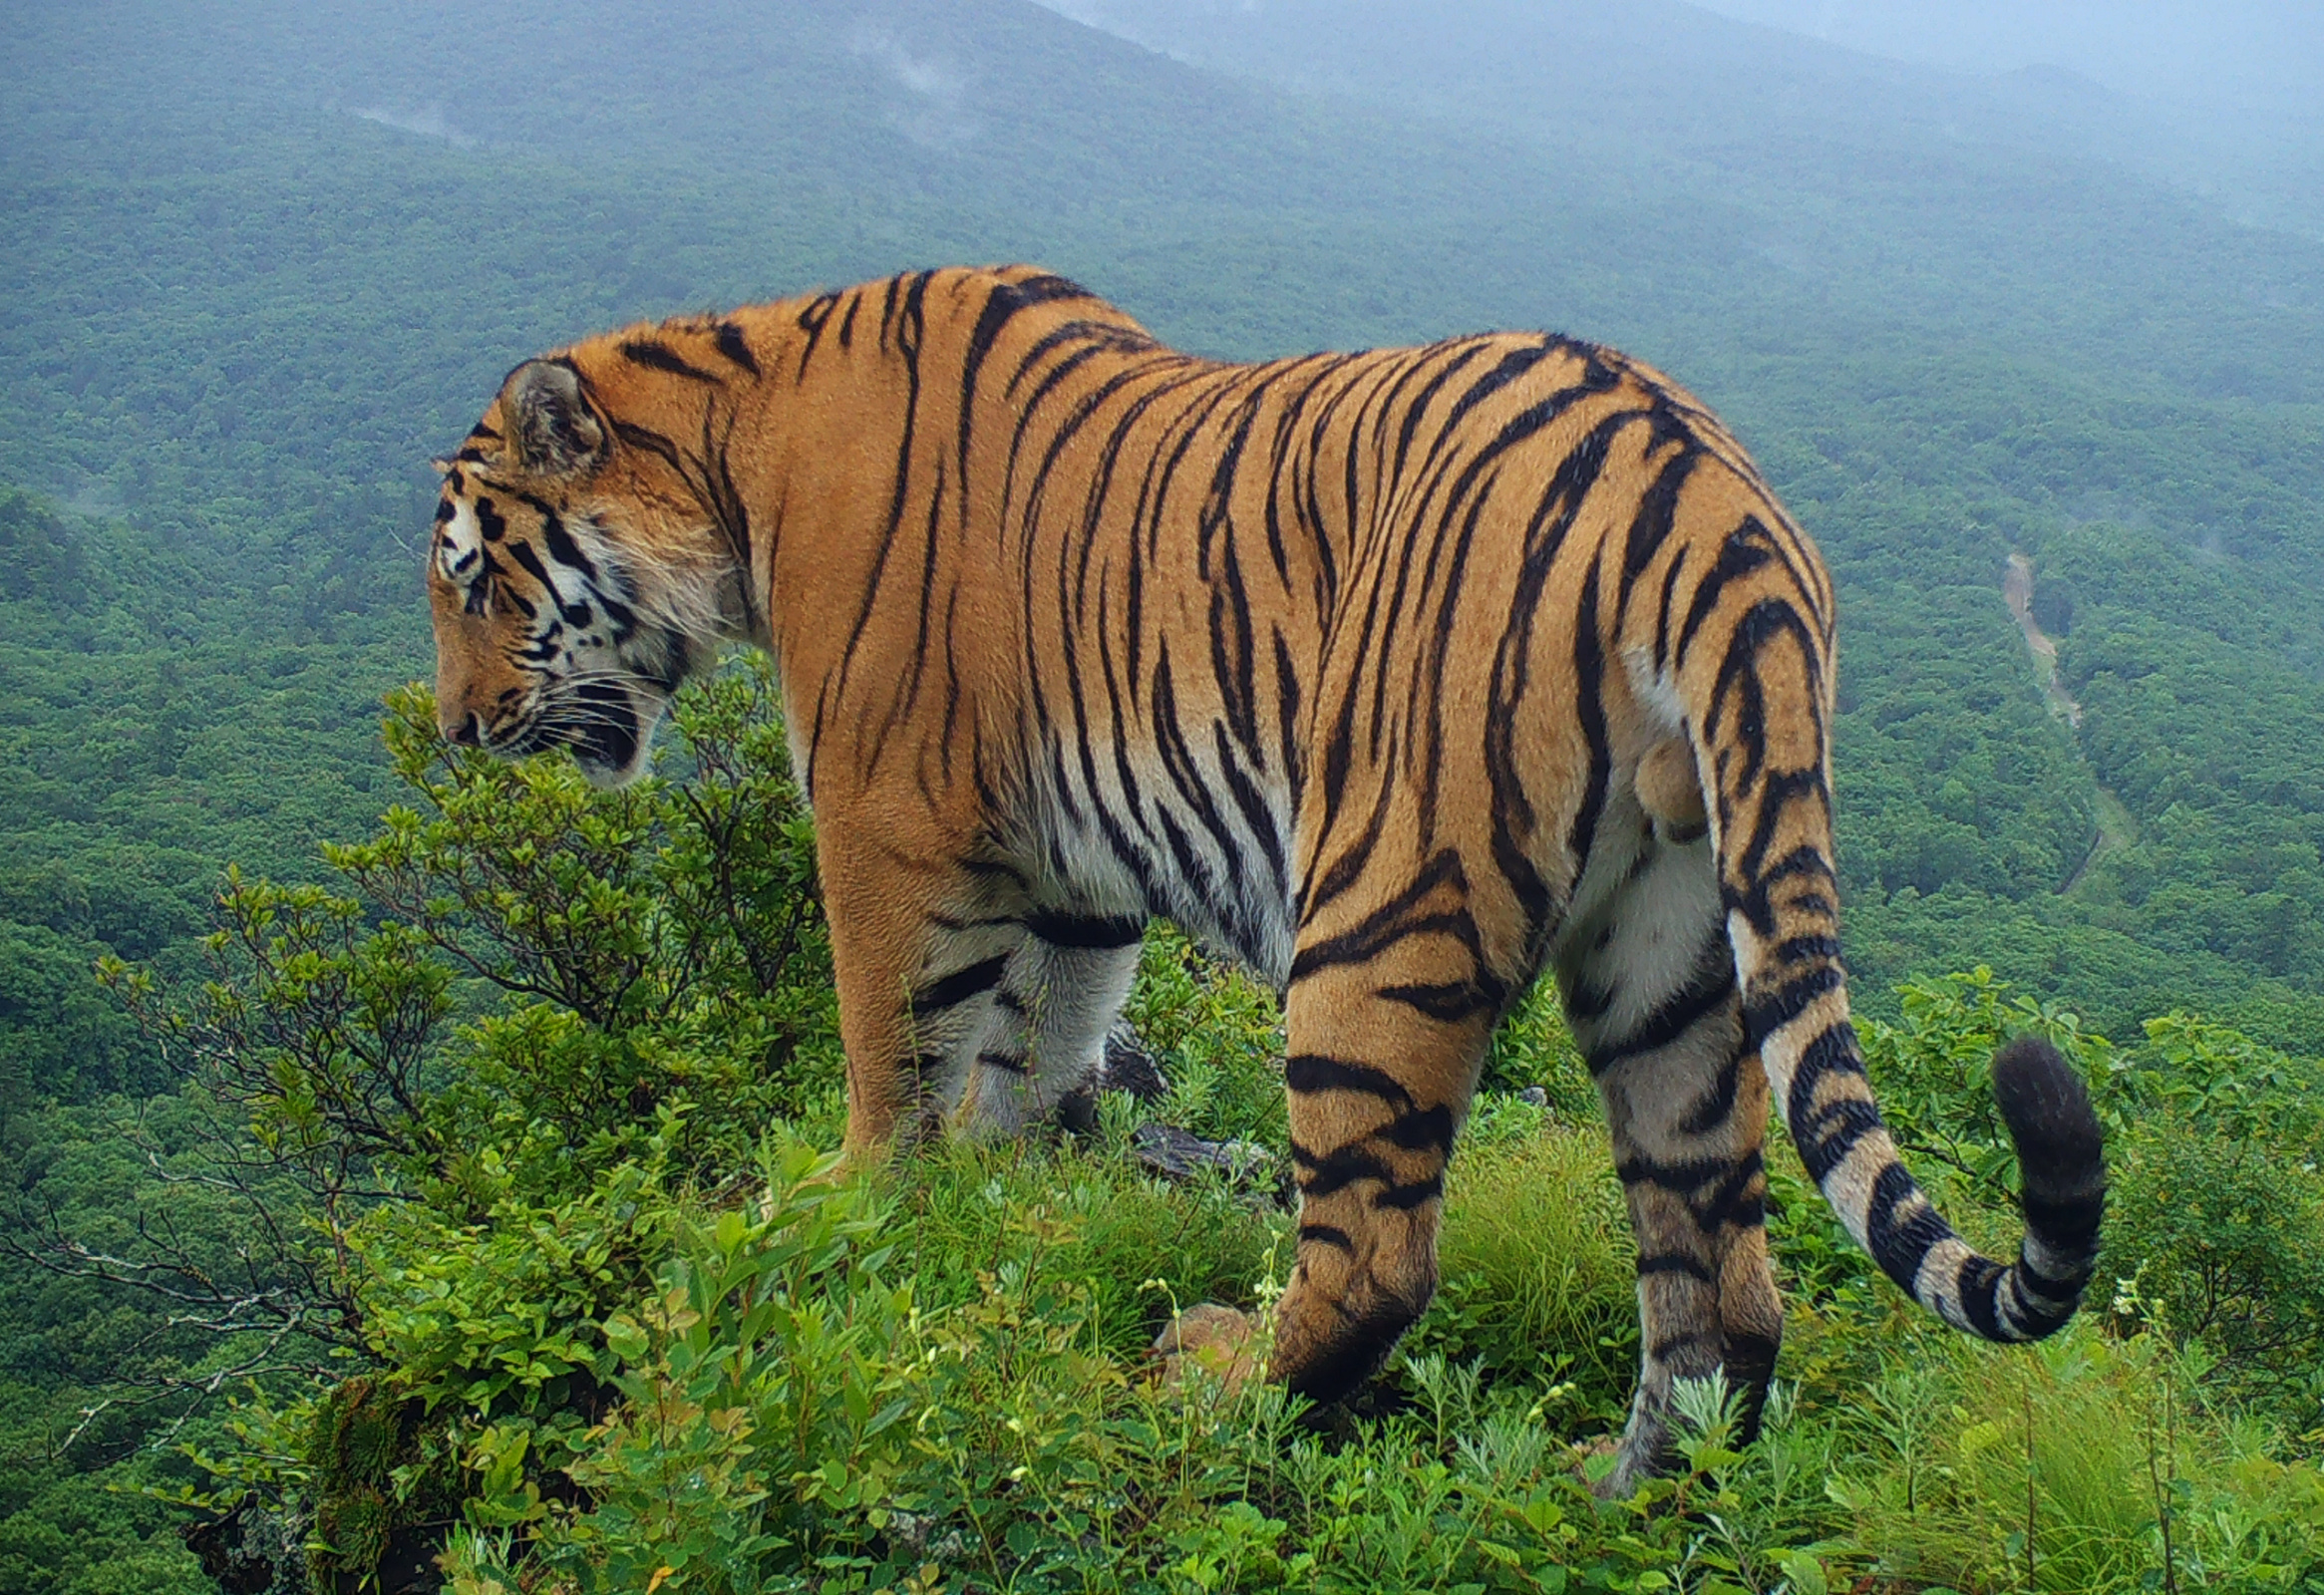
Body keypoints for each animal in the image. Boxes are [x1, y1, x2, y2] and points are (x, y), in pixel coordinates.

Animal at [423, 268, 2110, 1497]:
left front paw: (852, 1207)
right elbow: (1029, 1044)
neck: (733, 446)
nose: (453, 728)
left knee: (1376, 1260)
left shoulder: (881, 816)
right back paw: (1610, 1491)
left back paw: (1208, 1384)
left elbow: (890, 1043)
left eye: (471, 577)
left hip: (1376, 904)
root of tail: (1710, 495)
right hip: (1676, 939)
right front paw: (1002, 1210)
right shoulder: (1070, 869)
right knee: (1722, 1282)